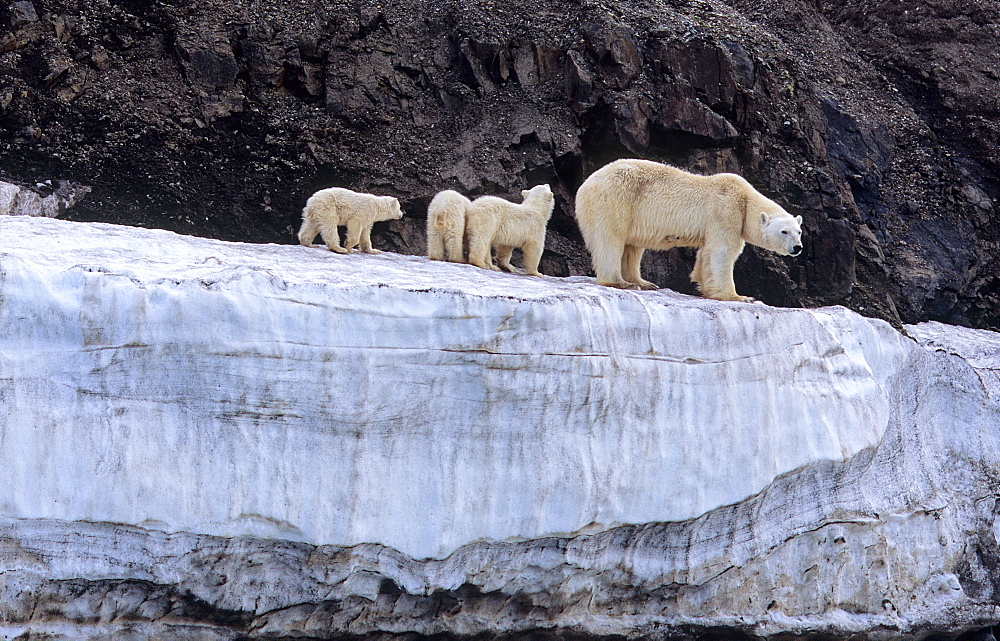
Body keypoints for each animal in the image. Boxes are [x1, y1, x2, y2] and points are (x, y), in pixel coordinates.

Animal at [576, 159, 800, 302]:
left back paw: (642, 282)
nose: (797, 248)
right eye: (784, 232)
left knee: (632, 246)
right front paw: (740, 297)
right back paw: (620, 283)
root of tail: (585, 185)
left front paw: (704, 285)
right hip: (616, 198)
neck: (745, 198)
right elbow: (723, 251)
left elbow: (706, 254)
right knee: (610, 238)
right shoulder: (726, 210)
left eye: (798, 231)